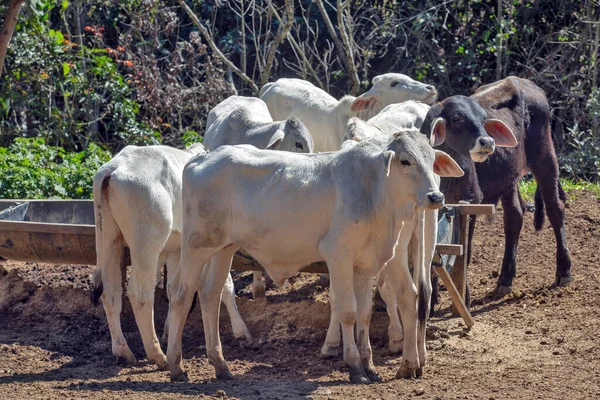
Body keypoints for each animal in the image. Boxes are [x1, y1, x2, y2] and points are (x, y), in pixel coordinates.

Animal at [91, 143, 255, 368]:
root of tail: (113, 168)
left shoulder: (174, 251)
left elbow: (172, 289)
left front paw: (170, 331)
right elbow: (226, 287)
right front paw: (242, 333)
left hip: (108, 239)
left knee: (111, 292)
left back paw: (124, 352)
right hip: (146, 244)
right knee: (139, 293)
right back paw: (158, 355)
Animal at [168, 132, 464, 384]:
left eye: (431, 160)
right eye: (405, 160)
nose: (435, 196)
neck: (373, 189)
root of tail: (200, 159)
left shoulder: (366, 263)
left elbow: (365, 313)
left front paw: (369, 366)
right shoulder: (338, 254)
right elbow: (347, 311)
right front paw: (355, 367)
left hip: (223, 248)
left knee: (210, 295)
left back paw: (220, 365)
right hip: (197, 246)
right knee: (181, 293)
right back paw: (176, 367)